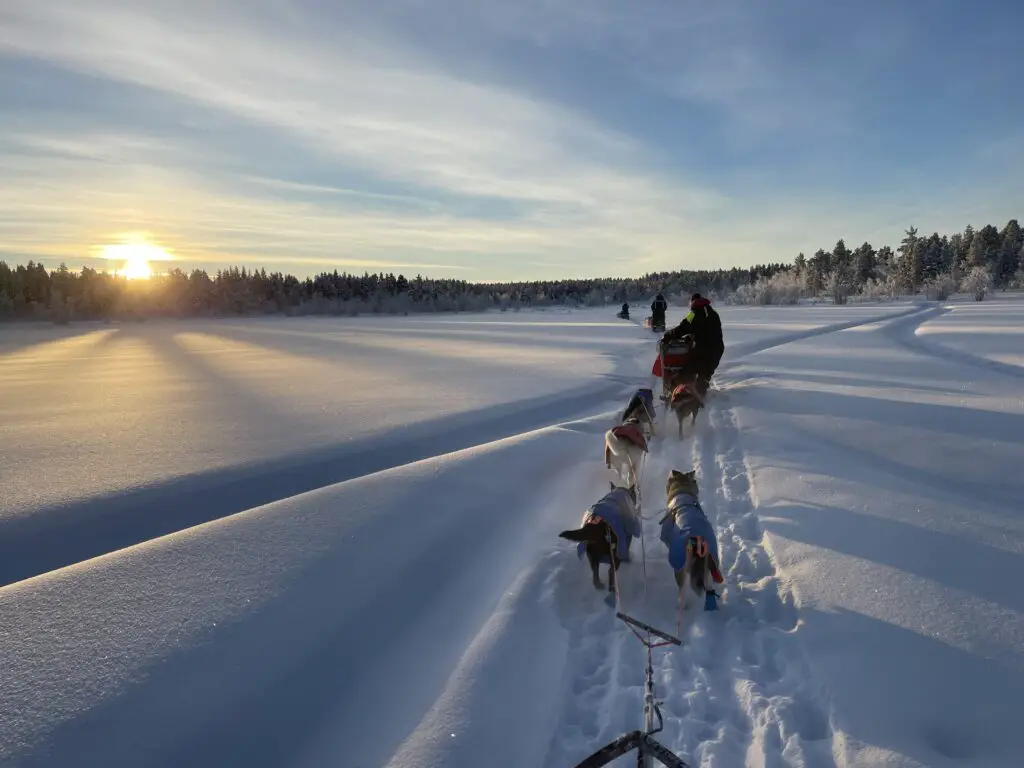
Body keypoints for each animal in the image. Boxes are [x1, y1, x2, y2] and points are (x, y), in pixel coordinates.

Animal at [659, 468, 724, 614]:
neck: (682, 491)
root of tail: (695, 540)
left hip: (680, 564)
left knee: (682, 589)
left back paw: (681, 606)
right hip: (710, 561)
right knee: (709, 587)